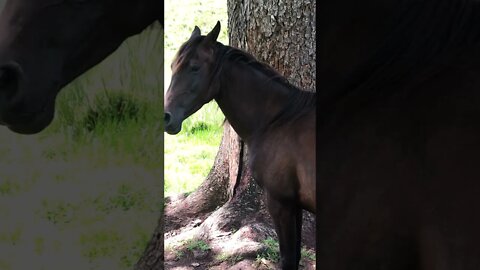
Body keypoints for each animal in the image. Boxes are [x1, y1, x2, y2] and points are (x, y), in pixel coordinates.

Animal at [163, 21, 316, 270]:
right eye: (173, 65)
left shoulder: (281, 203)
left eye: (194, 67)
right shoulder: (295, 206)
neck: (279, 119)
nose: (166, 117)